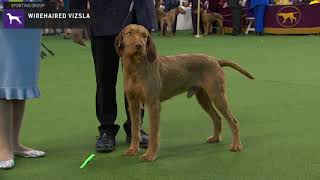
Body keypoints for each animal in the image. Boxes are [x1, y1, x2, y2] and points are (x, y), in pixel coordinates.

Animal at [114, 24, 254, 162]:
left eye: (144, 35)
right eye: (129, 33)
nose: (139, 46)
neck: (136, 68)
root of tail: (216, 60)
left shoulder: (153, 104)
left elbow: (154, 134)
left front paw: (150, 155)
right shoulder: (133, 103)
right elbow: (134, 129)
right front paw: (133, 150)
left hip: (217, 95)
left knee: (233, 121)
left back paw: (236, 145)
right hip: (203, 98)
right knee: (217, 118)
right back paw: (215, 138)